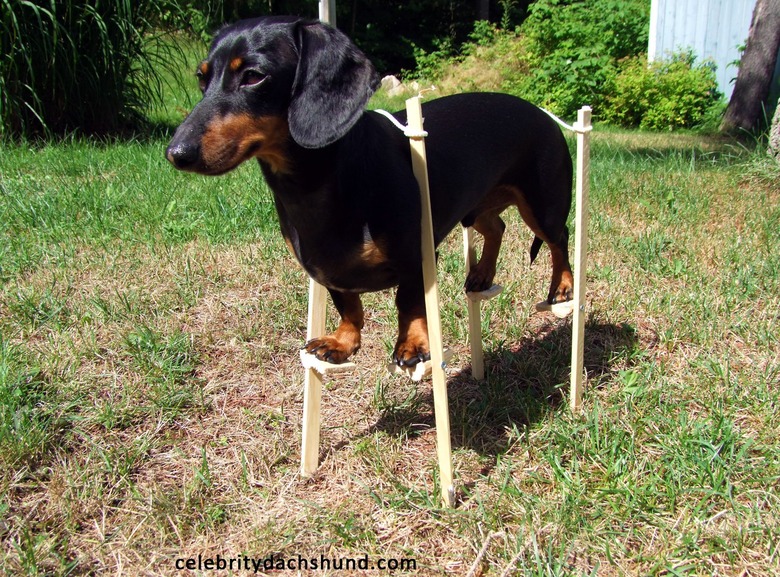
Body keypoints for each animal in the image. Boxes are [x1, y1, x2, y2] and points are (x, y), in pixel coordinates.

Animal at [166, 16, 572, 368]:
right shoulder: (325, 272)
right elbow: (348, 306)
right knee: (496, 228)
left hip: (543, 207)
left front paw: (412, 344)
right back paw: (482, 274)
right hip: (478, 207)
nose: (175, 154)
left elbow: (409, 302)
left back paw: (563, 287)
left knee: (559, 240)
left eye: (253, 76)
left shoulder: (417, 257)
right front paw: (342, 342)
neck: (314, 187)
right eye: (202, 78)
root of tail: (542, 114)